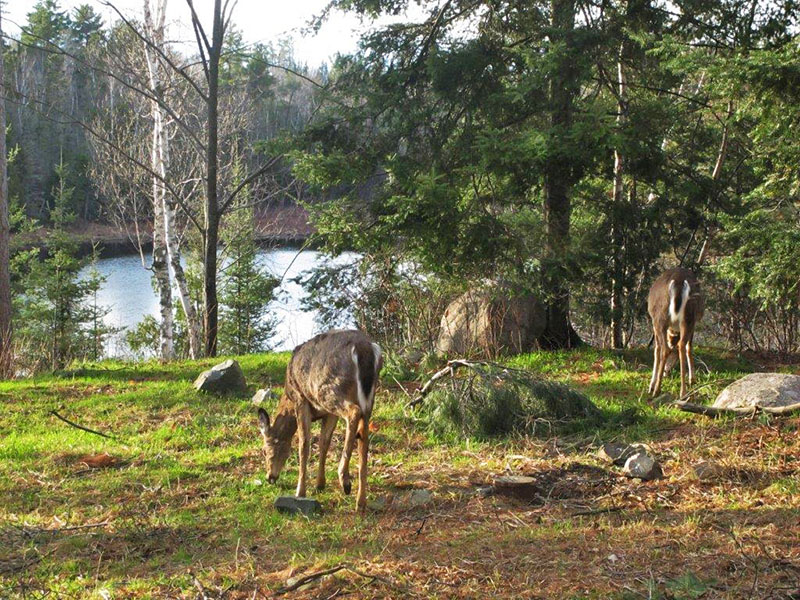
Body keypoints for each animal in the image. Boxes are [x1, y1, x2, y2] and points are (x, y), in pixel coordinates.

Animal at [257, 330, 383, 511]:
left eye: (265, 450)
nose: (269, 477)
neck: (288, 395)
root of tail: (363, 348)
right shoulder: (328, 414)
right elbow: (324, 443)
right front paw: (319, 484)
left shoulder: (301, 400)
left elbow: (304, 445)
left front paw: (300, 491)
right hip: (369, 398)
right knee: (363, 436)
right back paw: (360, 501)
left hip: (329, 389)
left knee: (353, 412)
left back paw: (344, 479)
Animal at [647, 268, 704, 398]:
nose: (666, 372)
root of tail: (678, 283)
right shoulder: (694, 324)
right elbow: (689, 346)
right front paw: (692, 379)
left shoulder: (653, 323)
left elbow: (656, 349)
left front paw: (651, 385)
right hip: (688, 317)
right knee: (682, 345)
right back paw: (683, 392)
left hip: (660, 318)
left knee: (665, 349)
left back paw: (656, 389)